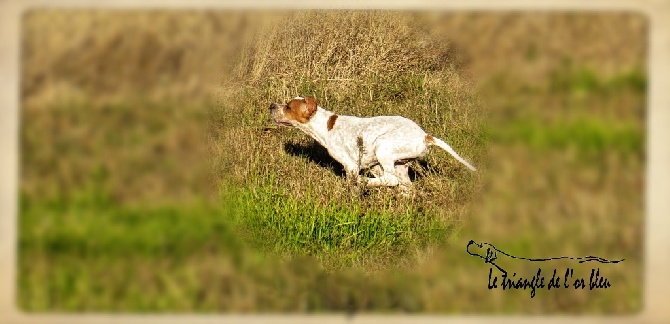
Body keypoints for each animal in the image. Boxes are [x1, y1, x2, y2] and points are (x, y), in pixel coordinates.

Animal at [270, 96, 478, 191]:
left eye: (288, 107)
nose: (271, 106)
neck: (326, 126)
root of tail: (425, 136)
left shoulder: (352, 166)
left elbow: (352, 184)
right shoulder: (373, 166)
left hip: (383, 146)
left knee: (391, 180)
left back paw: (365, 182)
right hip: (399, 166)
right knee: (404, 187)